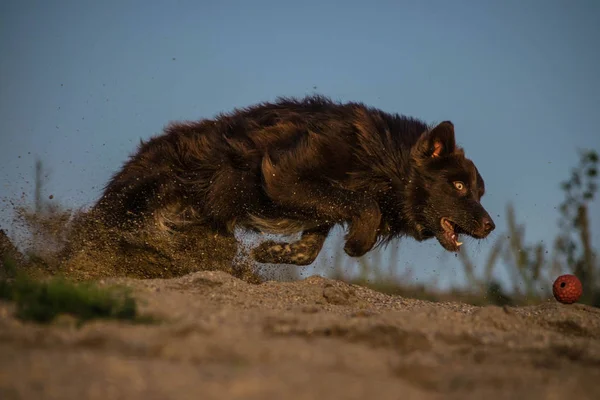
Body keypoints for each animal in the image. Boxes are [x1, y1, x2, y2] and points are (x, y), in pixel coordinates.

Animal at [94, 94, 494, 266]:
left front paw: (272, 252)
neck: (384, 159)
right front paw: (358, 243)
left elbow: (309, 249)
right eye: (458, 186)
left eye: (479, 191)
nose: (491, 226)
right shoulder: (284, 176)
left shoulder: (317, 205)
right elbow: (365, 205)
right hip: (138, 198)